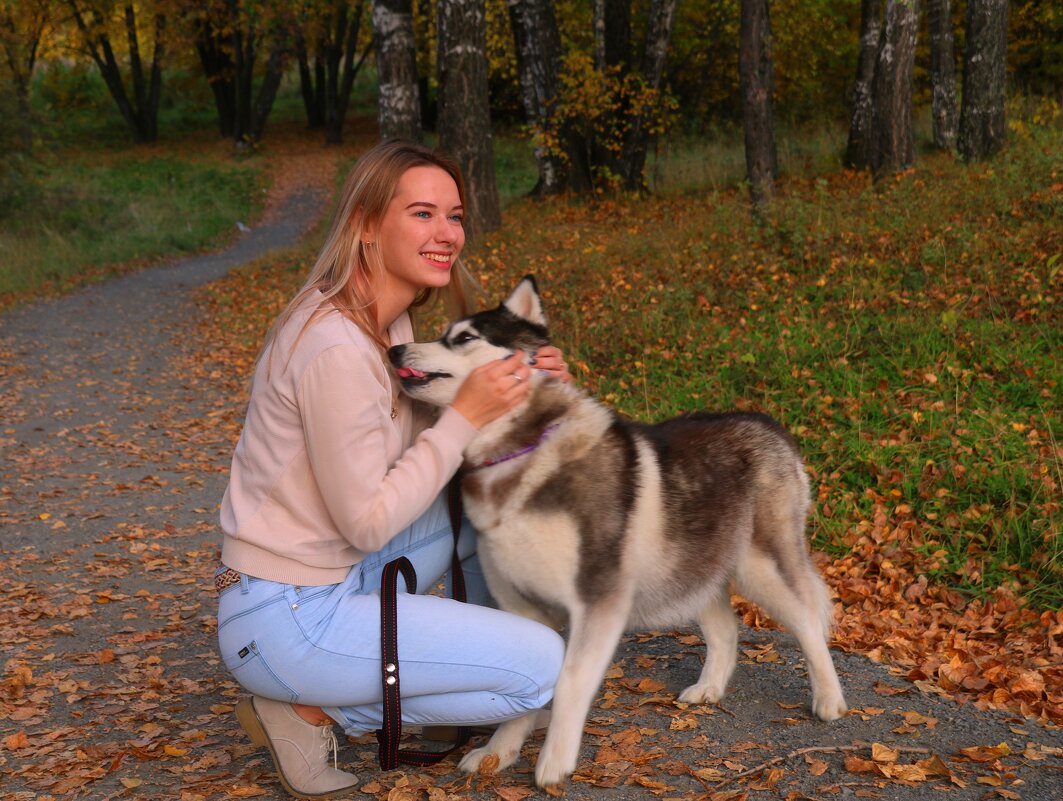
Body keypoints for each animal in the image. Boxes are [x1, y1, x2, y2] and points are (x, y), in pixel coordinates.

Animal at [389, 276, 846, 786]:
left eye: (464, 337)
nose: (395, 349)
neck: (523, 451)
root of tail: (765, 420)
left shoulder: (597, 601)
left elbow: (569, 681)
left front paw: (554, 761)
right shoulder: (524, 605)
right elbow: (526, 688)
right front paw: (499, 752)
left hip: (760, 566)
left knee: (808, 620)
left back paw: (829, 699)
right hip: (689, 567)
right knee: (727, 629)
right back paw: (709, 687)